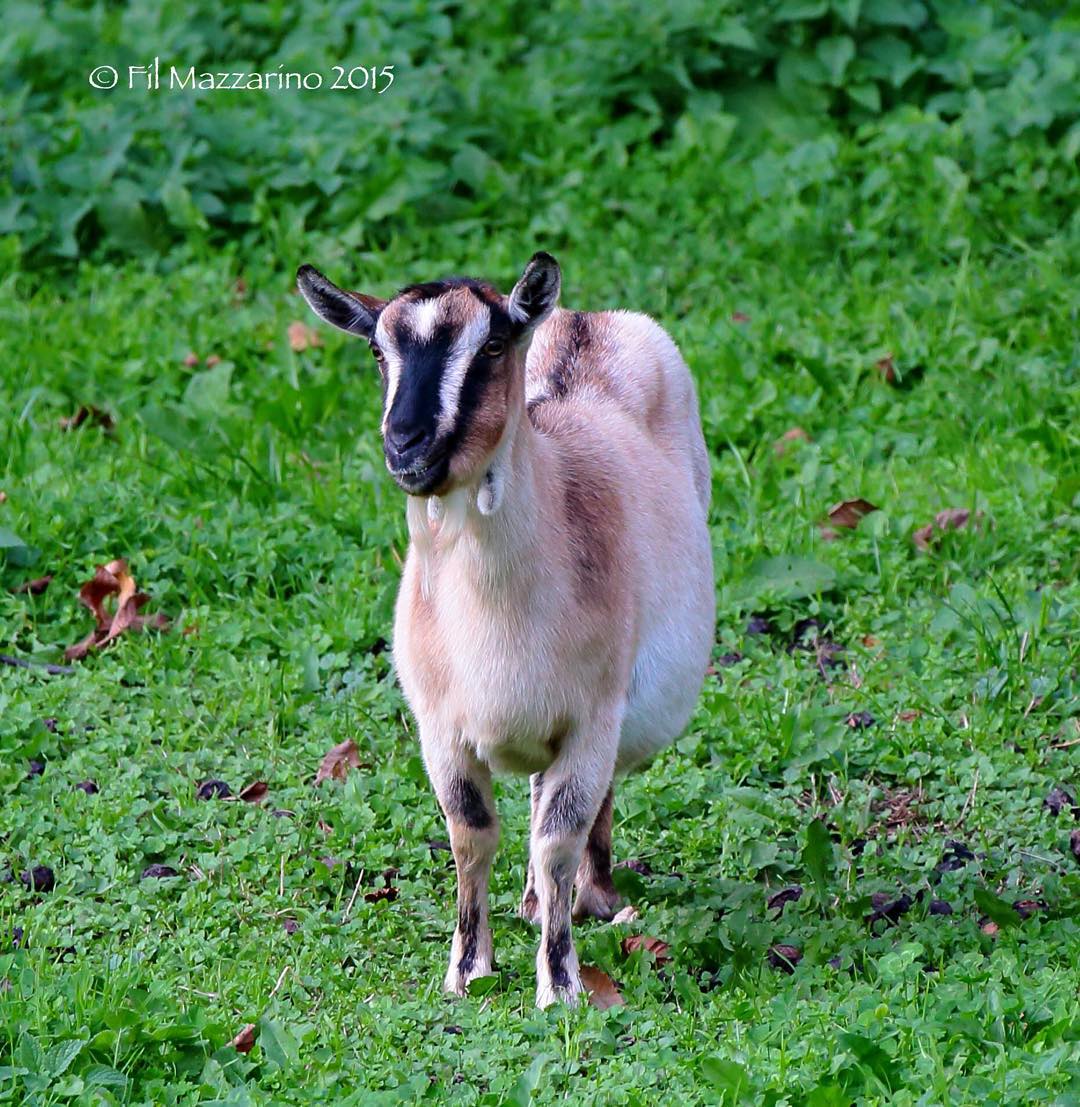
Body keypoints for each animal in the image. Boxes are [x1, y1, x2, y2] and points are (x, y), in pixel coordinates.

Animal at [297, 252, 715, 1007]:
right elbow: (472, 835)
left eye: (491, 345)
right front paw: (468, 970)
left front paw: (561, 985)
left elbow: (557, 838)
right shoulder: (441, 729)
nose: (406, 444)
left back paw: (595, 897)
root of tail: (584, 319)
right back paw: (529, 902)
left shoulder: (591, 720)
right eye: (378, 351)